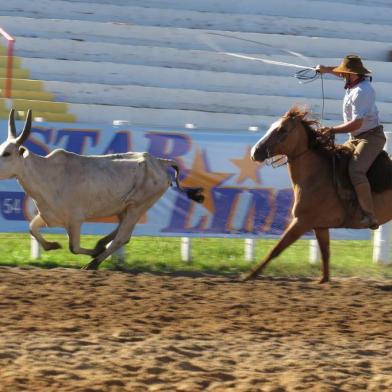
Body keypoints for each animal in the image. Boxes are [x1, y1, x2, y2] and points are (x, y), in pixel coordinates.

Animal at [242, 107, 392, 284]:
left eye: (282, 129)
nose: (255, 152)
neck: (316, 175)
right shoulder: (320, 226)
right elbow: (325, 253)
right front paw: (323, 280)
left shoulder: (301, 221)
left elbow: (276, 249)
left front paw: (249, 275)